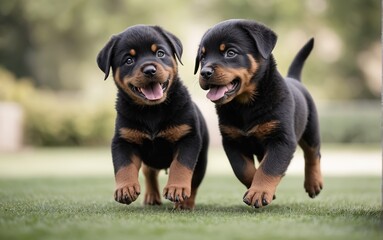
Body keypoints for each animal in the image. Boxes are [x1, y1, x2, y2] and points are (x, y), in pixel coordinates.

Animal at [97, 23, 208, 208]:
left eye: (160, 53)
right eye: (129, 60)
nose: (150, 70)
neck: (152, 111)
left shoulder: (188, 137)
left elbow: (181, 165)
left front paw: (176, 188)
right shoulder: (123, 139)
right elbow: (123, 165)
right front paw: (125, 188)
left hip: (202, 160)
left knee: (194, 181)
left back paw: (185, 203)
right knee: (149, 172)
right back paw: (151, 196)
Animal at [195, 19, 324, 208]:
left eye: (230, 53)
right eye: (203, 57)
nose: (204, 72)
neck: (245, 105)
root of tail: (294, 79)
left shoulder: (282, 139)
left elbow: (269, 167)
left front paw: (259, 191)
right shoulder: (232, 141)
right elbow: (243, 169)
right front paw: (257, 188)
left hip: (311, 128)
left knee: (313, 153)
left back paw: (313, 183)